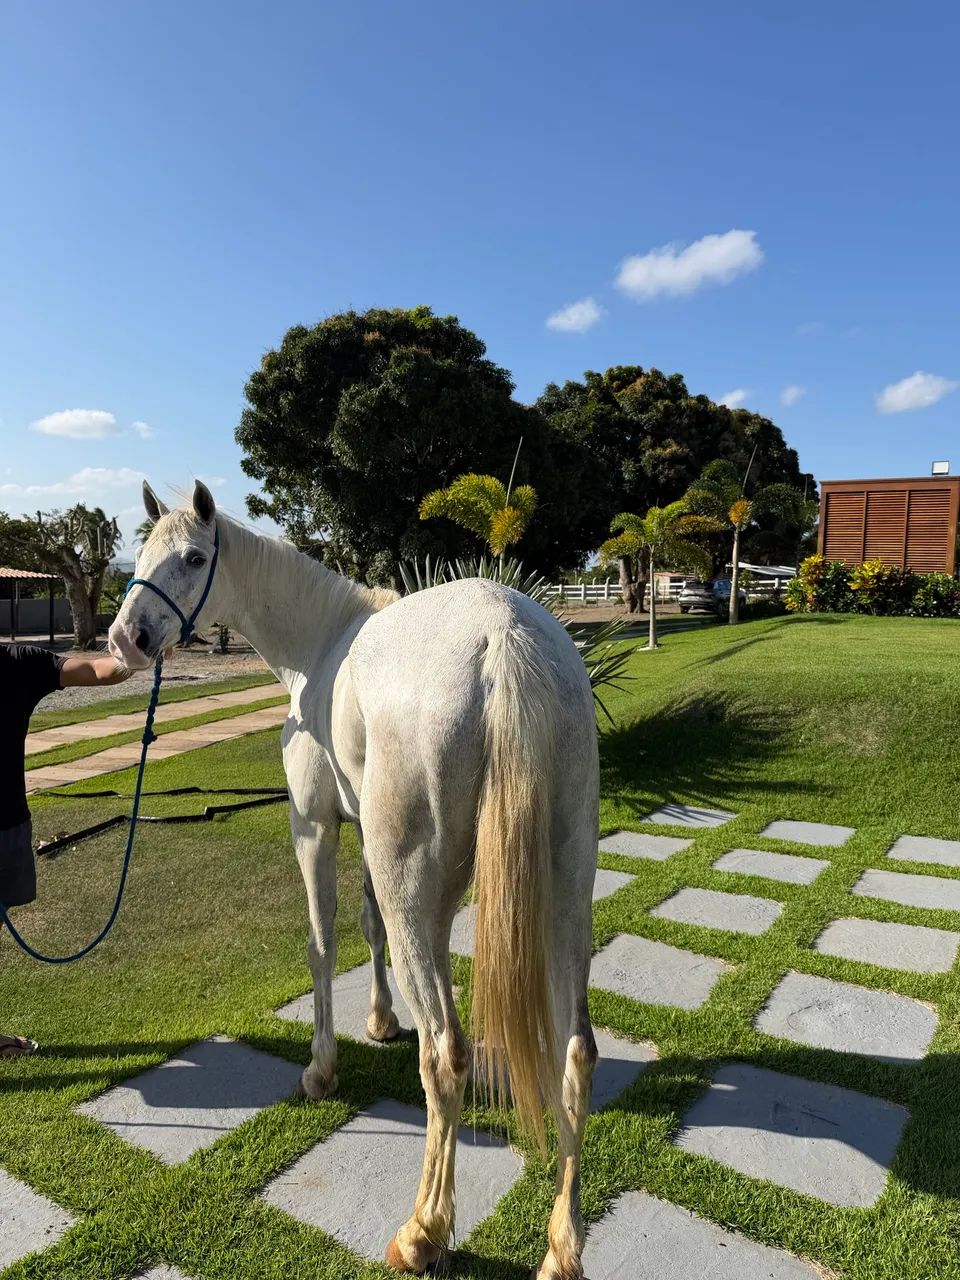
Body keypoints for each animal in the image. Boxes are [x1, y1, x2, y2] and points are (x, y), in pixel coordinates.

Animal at [109, 480, 600, 1280]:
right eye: (143, 553)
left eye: (193, 558)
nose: (126, 640)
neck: (321, 647)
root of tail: (506, 641)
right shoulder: (366, 836)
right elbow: (366, 927)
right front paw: (378, 1021)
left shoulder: (314, 824)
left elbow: (321, 943)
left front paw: (322, 1068)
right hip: (564, 890)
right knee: (575, 1055)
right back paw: (561, 1246)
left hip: (421, 902)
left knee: (448, 1055)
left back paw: (423, 1231)